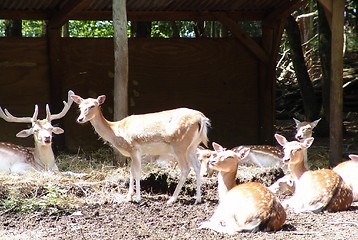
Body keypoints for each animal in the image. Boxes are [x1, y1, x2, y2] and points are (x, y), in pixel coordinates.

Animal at [70, 94, 210, 204]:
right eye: (80, 107)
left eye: (93, 106)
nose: (80, 119)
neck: (115, 130)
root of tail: (201, 119)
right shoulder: (133, 153)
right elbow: (131, 172)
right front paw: (128, 197)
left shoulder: (133, 148)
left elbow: (137, 172)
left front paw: (137, 198)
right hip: (192, 146)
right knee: (197, 166)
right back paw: (198, 199)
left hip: (179, 145)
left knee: (186, 169)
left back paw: (172, 199)